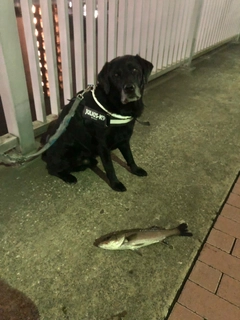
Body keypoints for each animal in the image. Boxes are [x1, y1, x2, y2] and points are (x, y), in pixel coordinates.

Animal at [41, 55, 153, 191]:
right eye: (116, 75)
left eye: (135, 70)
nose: (129, 88)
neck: (116, 106)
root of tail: (46, 153)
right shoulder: (103, 145)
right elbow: (110, 168)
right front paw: (115, 184)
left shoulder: (124, 139)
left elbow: (129, 157)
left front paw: (136, 170)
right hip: (66, 152)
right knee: (53, 169)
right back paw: (69, 177)